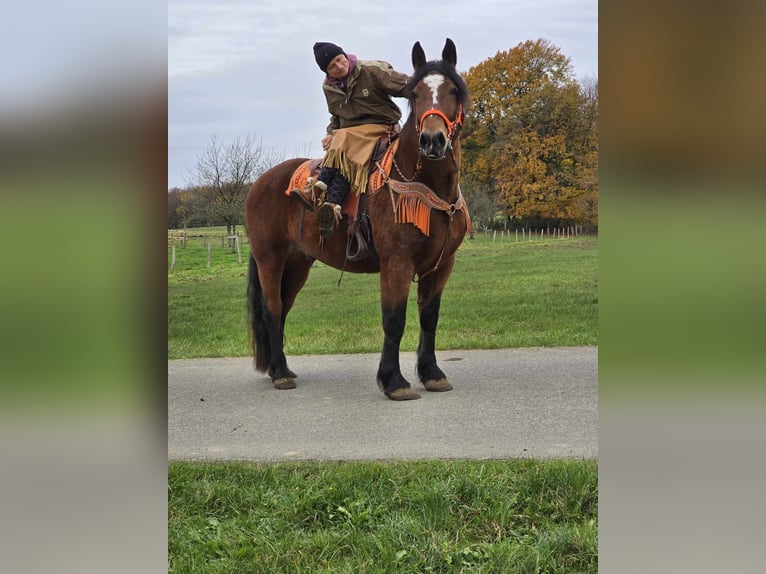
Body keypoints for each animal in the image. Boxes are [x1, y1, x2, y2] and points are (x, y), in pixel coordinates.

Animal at [249, 38, 472, 402]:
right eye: (414, 94)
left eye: (453, 90)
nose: (432, 140)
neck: (426, 185)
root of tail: (260, 183)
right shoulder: (397, 263)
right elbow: (394, 320)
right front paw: (394, 381)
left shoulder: (441, 265)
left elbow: (429, 318)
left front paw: (432, 374)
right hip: (270, 258)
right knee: (272, 309)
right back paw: (280, 373)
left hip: (297, 263)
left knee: (283, 308)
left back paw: (279, 369)